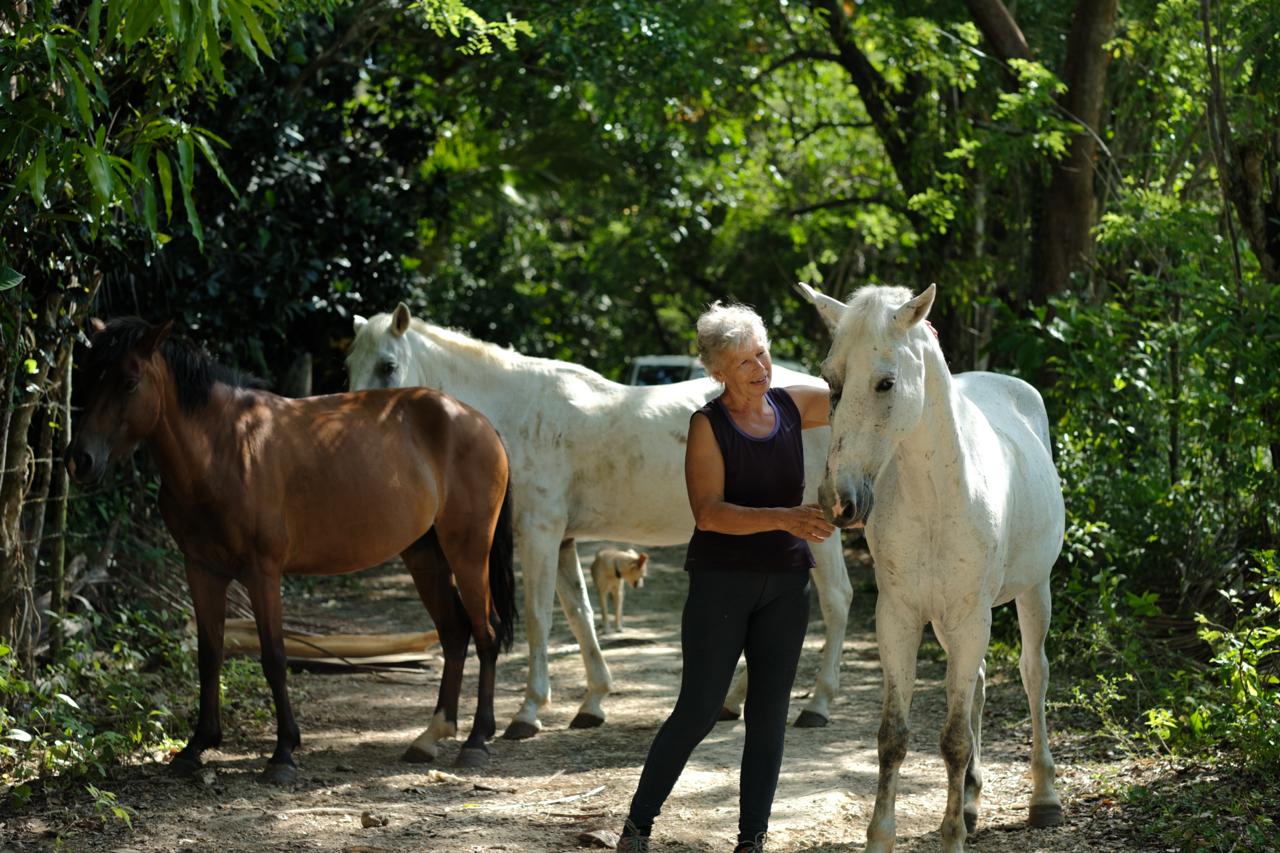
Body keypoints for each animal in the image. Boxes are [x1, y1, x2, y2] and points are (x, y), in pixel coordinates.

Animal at [66, 317, 516, 782]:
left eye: (129, 381)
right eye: (86, 376)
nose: (79, 459)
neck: (225, 448)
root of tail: (478, 422)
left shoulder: (262, 571)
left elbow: (274, 656)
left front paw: (283, 752)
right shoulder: (202, 570)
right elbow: (209, 655)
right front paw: (197, 745)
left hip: (468, 552)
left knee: (487, 632)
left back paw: (477, 740)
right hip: (425, 557)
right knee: (455, 632)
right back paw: (430, 736)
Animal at [346, 303, 855, 738]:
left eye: (388, 365)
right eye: (350, 363)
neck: (517, 413)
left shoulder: (539, 533)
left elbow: (538, 618)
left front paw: (528, 713)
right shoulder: (563, 541)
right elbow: (580, 614)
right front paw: (592, 701)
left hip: (817, 530)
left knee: (836, 600)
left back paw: (817, 705)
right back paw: (733, 701)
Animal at [796, 282, 1065, 852]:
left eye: (885, 382)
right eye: (830, 380)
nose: (837, 501)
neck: (937, 498)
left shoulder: (971, 617)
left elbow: (955, 738)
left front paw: (952, 837)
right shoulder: (900, 618)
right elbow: (893, 736)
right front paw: (883, 836)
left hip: (1032, 592)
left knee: (1034, 676)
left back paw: (1044, 799)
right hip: (950, 622)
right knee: (980, 684)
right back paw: (971, 802)